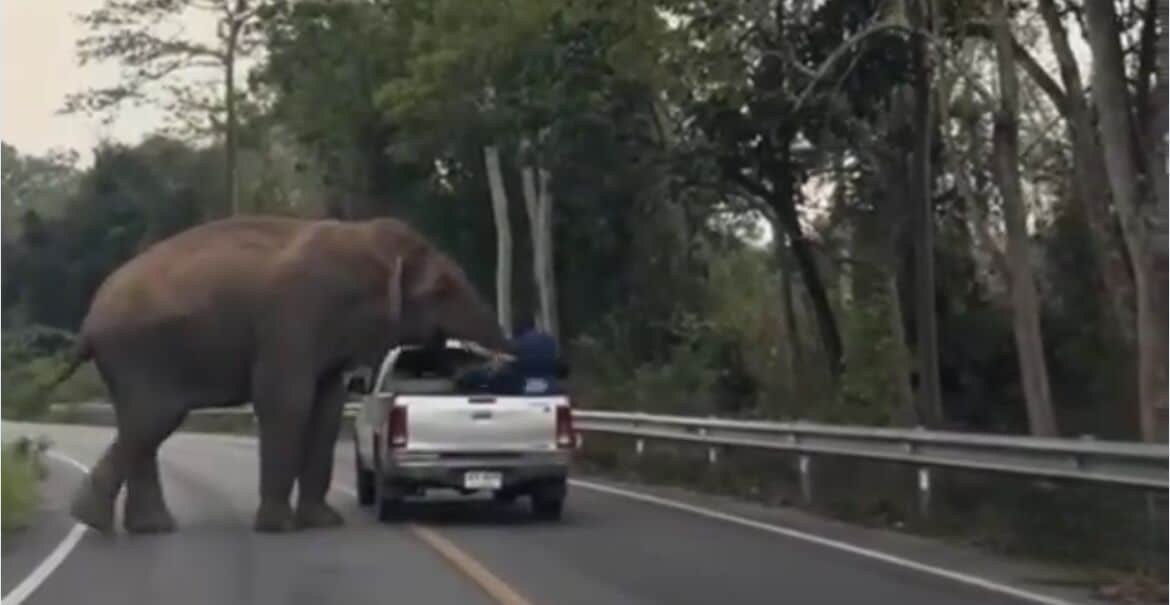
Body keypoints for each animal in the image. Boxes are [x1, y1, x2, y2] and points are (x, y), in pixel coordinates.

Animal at [47, 212, 505, 533]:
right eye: (442, 290)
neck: (360, 236)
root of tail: (89, 321)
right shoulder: (294, 317)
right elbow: (287, 401)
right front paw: (279, 528)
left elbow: (327, 406)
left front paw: (324, 524)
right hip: (137, 353)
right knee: (152, 420)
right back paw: (90, 519)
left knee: (140, 426)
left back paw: (142, 527)